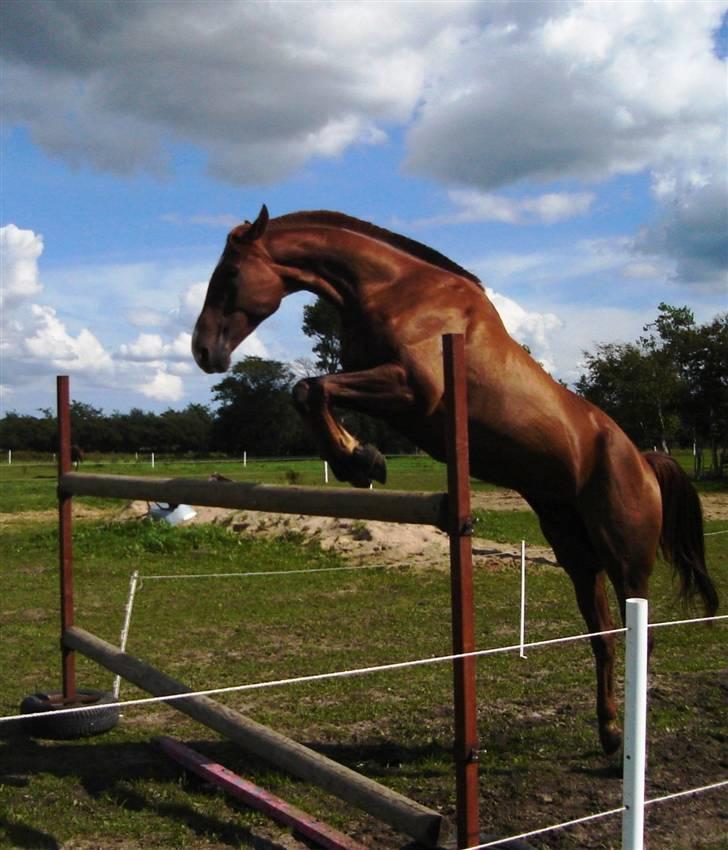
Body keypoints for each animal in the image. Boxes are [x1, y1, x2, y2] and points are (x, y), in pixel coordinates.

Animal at [192, 207, 716, 756]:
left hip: (627, 560)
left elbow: (311, 388)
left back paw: (628, 742)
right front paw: (361, 458)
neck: (391, 289)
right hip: (577, 554)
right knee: (603, 637)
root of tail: (643, 460)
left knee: (642, 636)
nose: (203, 351)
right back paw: (610, 732)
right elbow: (311, 391)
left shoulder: (414, 388)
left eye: (230, 274)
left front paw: (361, 460)